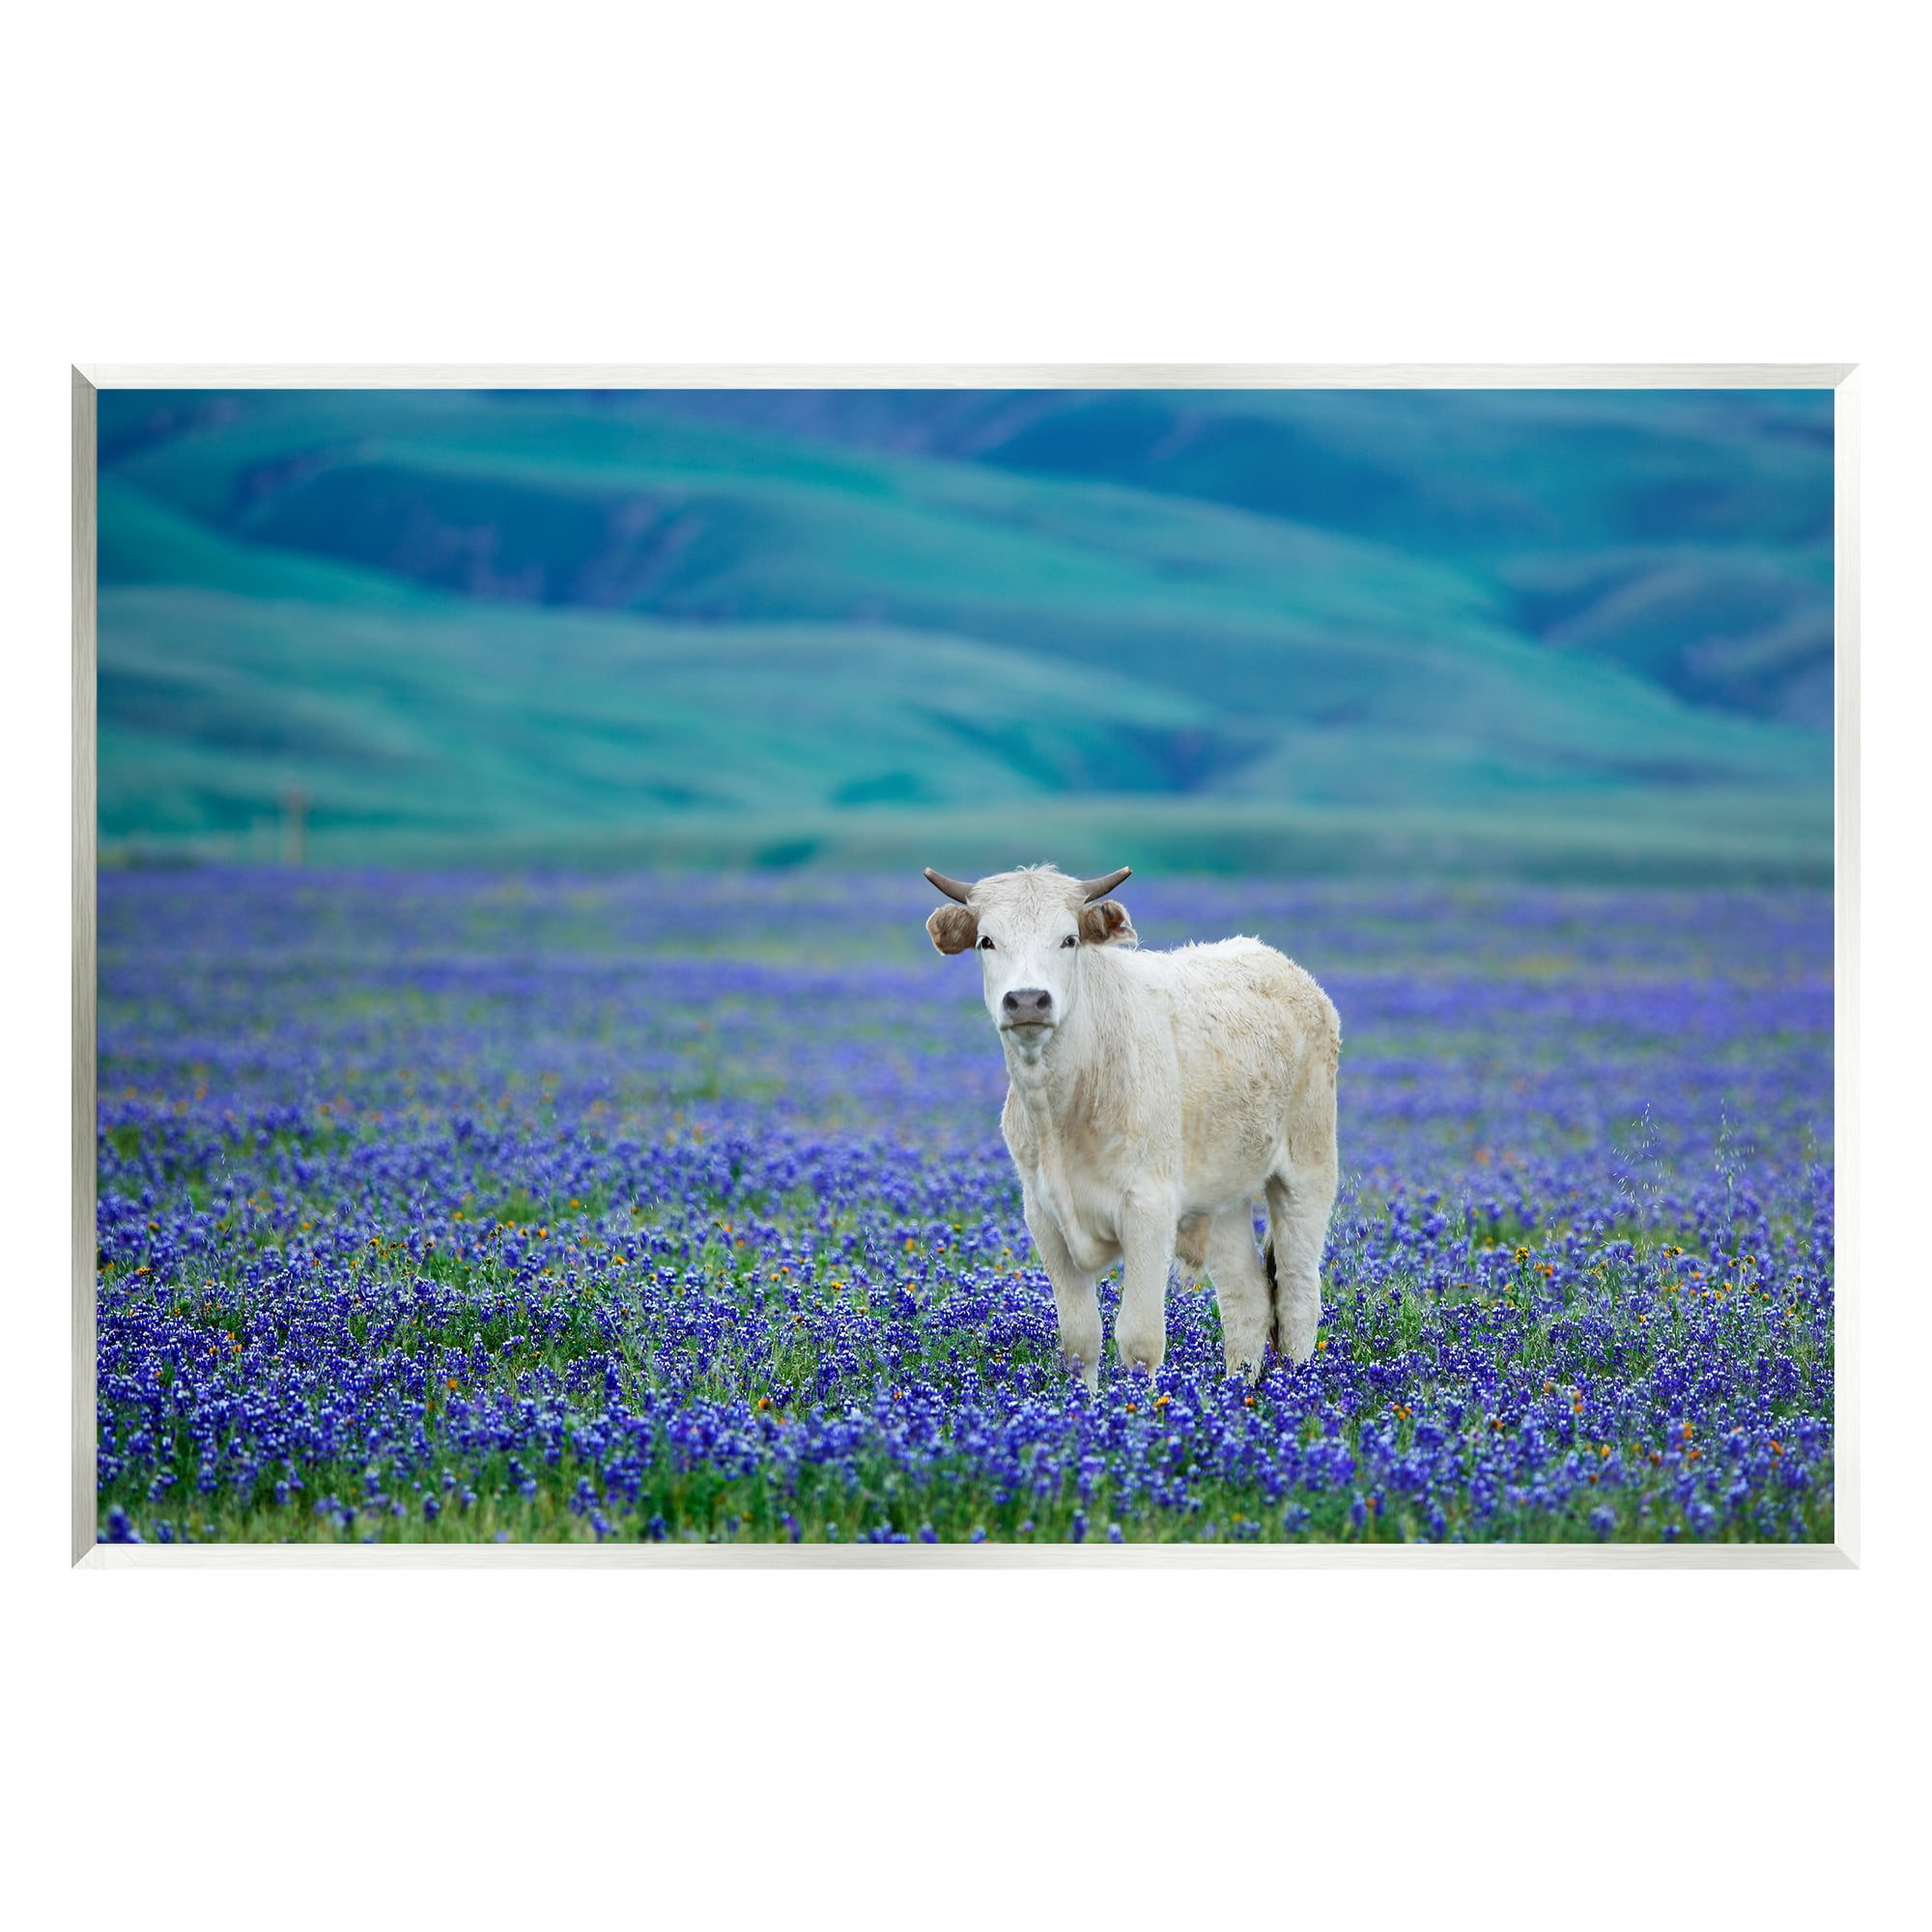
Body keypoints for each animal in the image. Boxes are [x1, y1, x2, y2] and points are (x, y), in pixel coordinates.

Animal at [923, 862, 1340, 1389]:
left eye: (1069, 940)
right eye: (986, 941)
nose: (1028, 1001)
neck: (1061, 1107)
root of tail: (1276, 961)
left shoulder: (1148, 1209)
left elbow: (1139, 1339)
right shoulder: (1043, 1216)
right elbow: (1080, 1339)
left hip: (1307, 1173)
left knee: (1298, 1294)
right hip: (1225, 1196)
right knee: (1246, 1299)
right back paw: (1240, 1394)